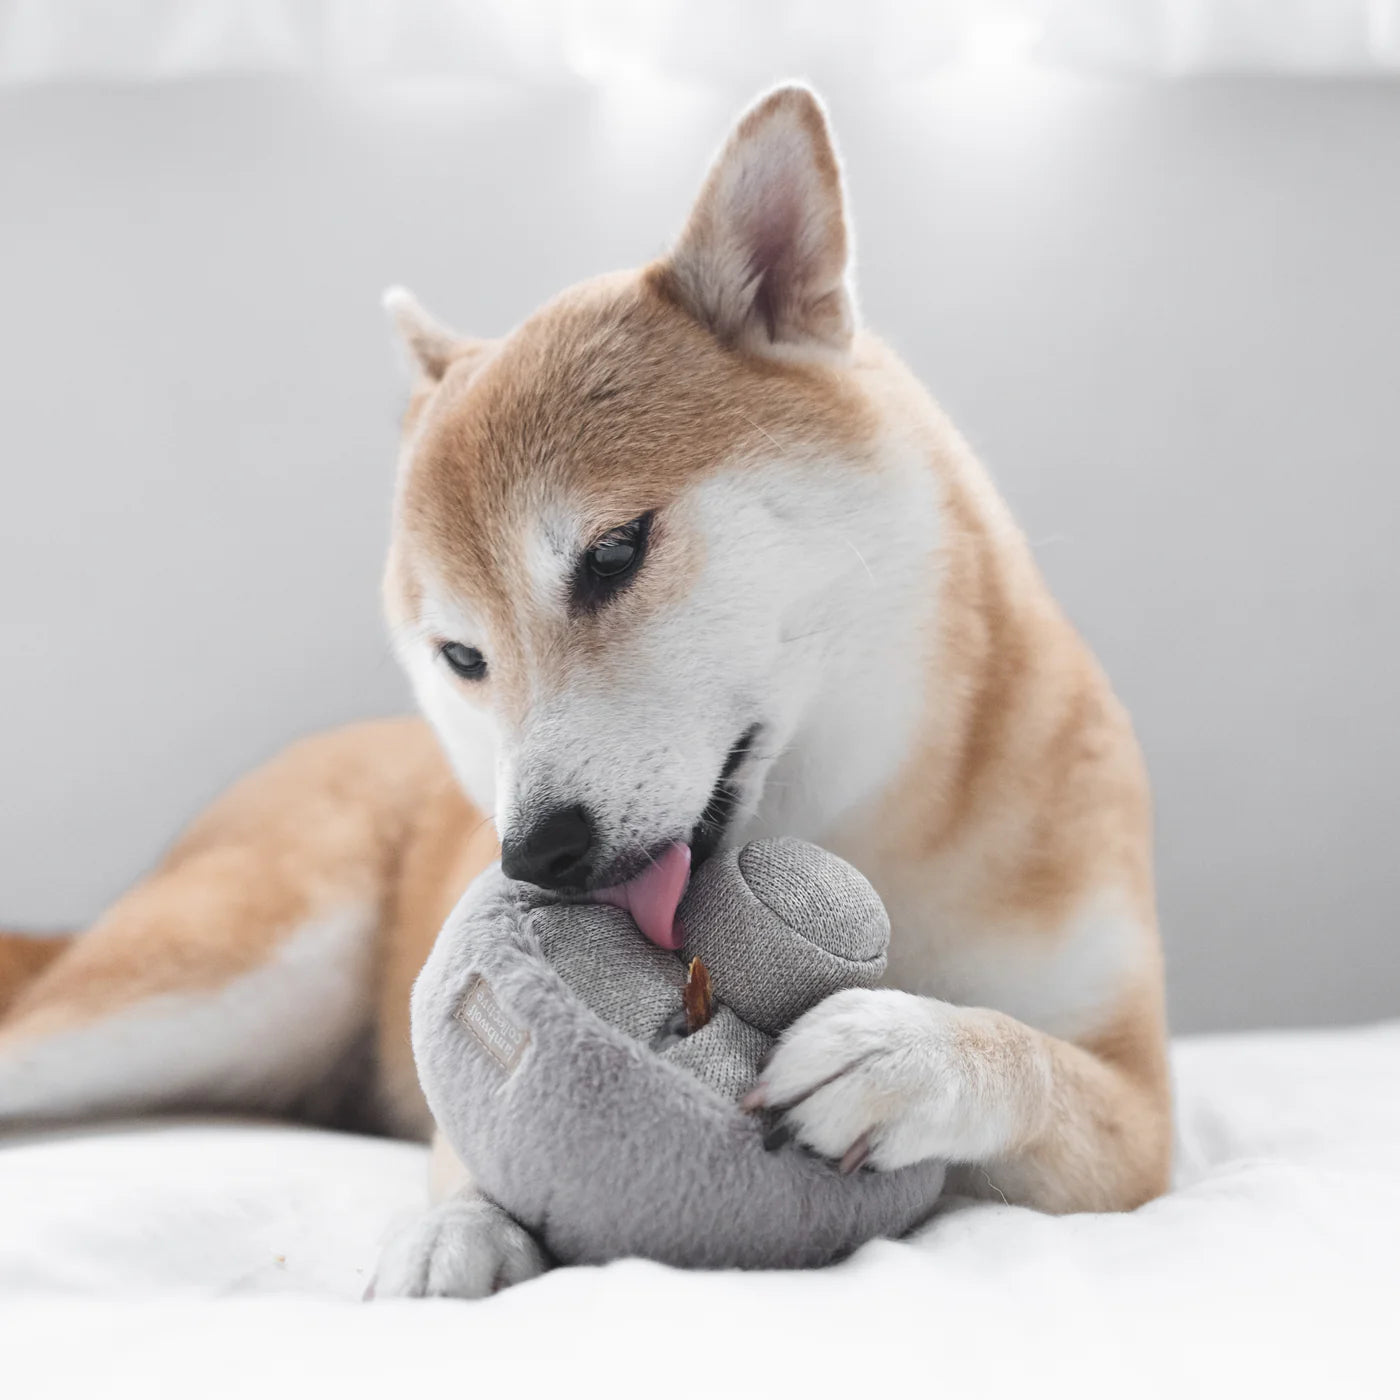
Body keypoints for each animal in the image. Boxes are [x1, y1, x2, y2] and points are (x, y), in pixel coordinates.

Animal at [0, 84, 1164, 1288]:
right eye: (462, 658)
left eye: (612, 553)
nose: (535, 856)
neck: (851, 827)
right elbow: (463, 1127)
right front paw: (456, 1225)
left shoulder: (1142, 1113)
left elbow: (1033, 1059)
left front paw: (902, 1048)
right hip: (220, 967)